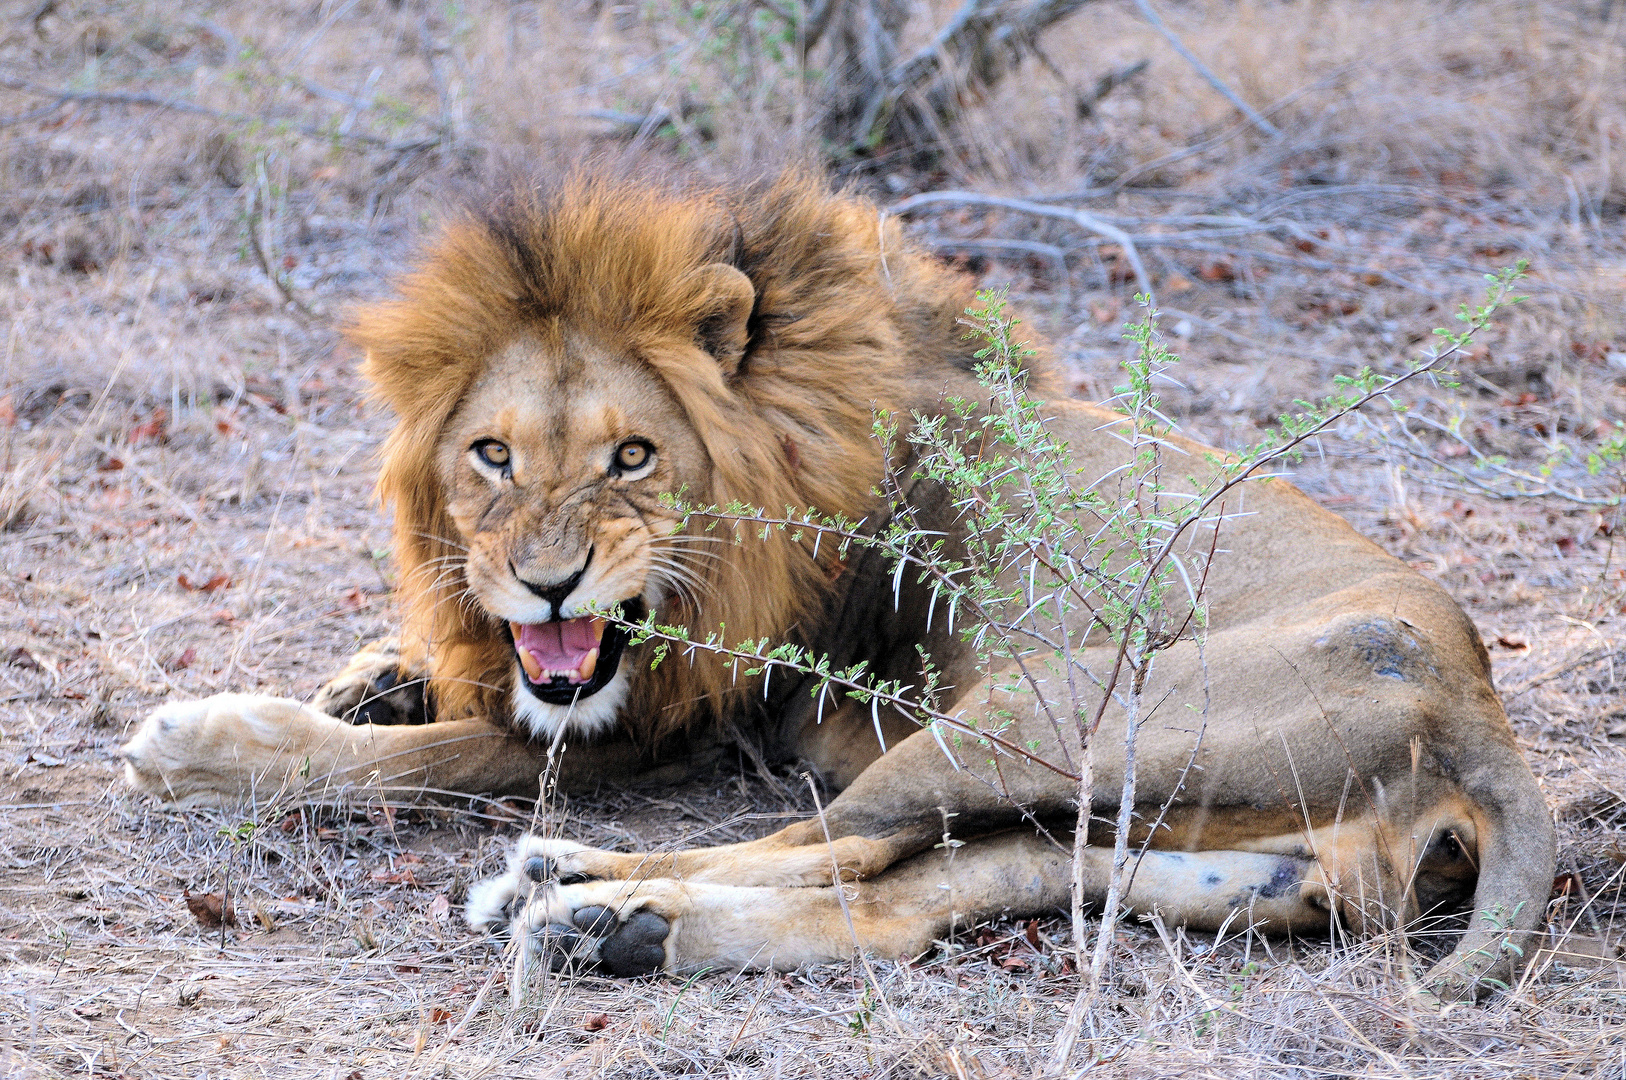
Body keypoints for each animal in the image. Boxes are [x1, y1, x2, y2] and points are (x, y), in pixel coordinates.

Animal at [120, 170, 1554, 1001]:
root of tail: (1477, 711)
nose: (548, 584)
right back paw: (621, 929)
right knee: (901, 902)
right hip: (1184, 851)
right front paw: (377, 674)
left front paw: (203, 745)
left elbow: (436, 757)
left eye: (632, 457)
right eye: (493, 456)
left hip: (1030, 712)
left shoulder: (689, 720)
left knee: (833, 839)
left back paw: (555, 891)